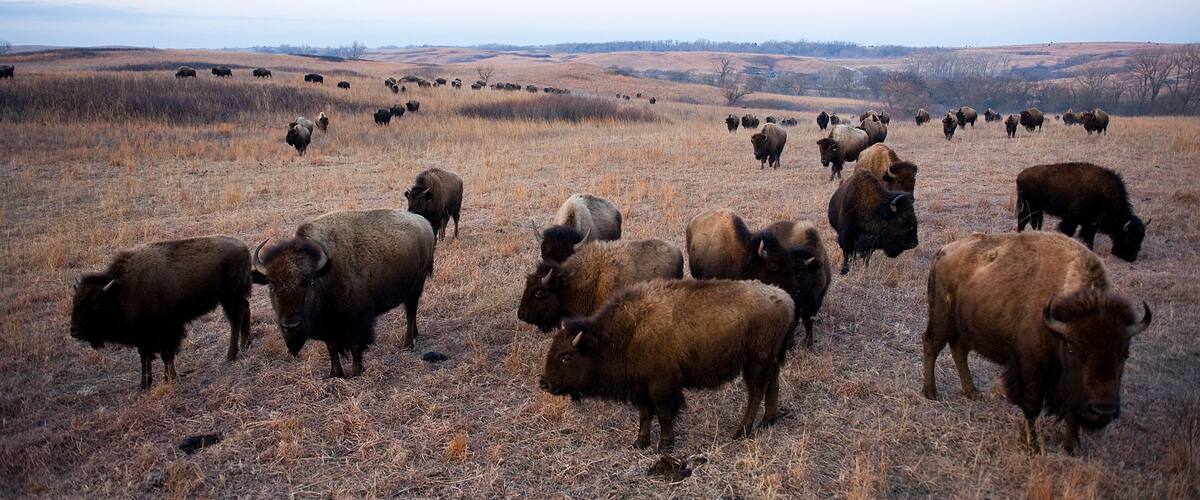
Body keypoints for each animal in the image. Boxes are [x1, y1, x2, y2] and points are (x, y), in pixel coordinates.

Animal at [70, 236, 252, 389]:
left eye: (96, 304)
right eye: (75, 302)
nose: (74, 332)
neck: (123, 289)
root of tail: (243, 247)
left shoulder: (168, 330)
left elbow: (166, 355)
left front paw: (169, 378)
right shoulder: (141, 335)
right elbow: (144, 357)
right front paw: (144, 384)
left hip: (230, 297)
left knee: (235, 320)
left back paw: (230, 355)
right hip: (233, 298)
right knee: (245, 312)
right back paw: (245, 345)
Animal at [252, 209, 435, 377]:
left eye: (310, 282)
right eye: (271, 286)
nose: (291, 326)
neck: (324, 272)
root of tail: (424, 223)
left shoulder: (356, 321)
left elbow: (355, 347)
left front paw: (355, 373)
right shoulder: (327, 326)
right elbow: (332, 348)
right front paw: (335, 373)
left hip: (415, 288)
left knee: (410, 312)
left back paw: (407, 343)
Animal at [539, 279, 795, 450]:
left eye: (566, 356)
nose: (544, 383)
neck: (627, 332)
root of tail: (786, 299)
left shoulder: (661, 387)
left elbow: (663, 414)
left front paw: (665, 446)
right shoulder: (640, 388)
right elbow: (644, 415)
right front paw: (640, 443)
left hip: (755, 362)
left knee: (756, 392)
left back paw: (741, 432)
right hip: (770, 359)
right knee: (772, 383)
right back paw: (768, 421)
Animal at [923, 232, 1151, 453]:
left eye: (1125, 355)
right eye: (1072, 349)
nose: (1102, 409)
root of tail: (944, 251)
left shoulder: (1069, 386)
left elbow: (1072, 411)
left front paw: (1072, 447)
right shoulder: (1030, 369)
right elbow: (1032, 407)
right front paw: (1032, 445)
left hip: (965, 328)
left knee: (959, 351)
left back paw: (973, 393)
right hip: (942, 319)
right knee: (931, 346)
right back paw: (931, 393)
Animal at [1016, 162, 1147, 262]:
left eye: (1140, 239)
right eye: (1127, 238)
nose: (1131, 258)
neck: (1103, 194)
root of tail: (1020, 176)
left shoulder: (1090, 223)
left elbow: (1088, 236)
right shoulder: (1073, 219)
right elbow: (1070, 232)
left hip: (1036, 209)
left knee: (1031, 221)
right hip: (1031, 207)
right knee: (1023, 219)